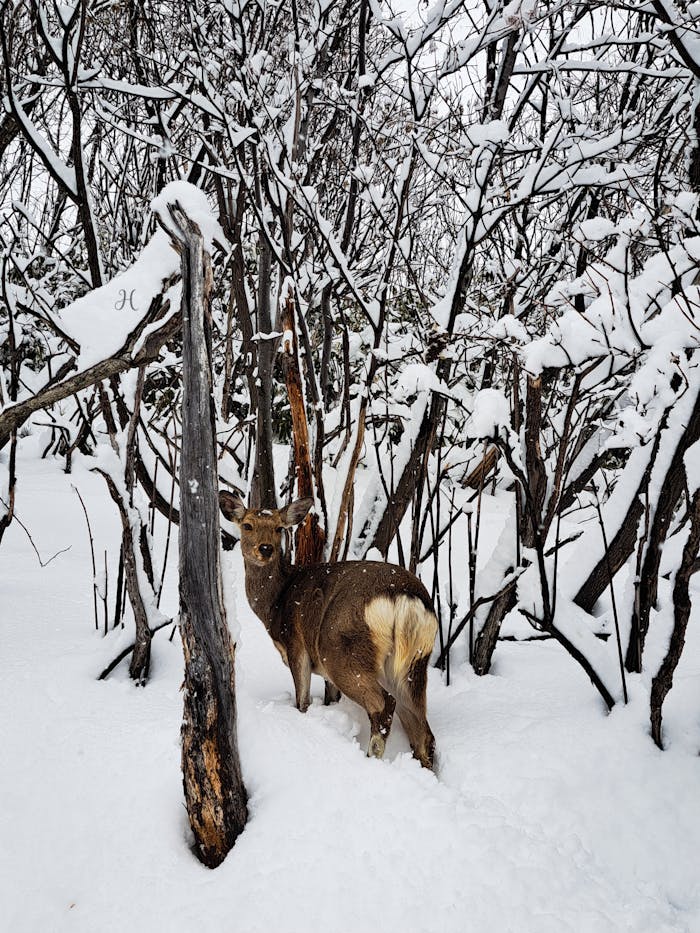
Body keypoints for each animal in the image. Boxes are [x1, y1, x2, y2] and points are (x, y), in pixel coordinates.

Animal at [219, 492, 438, 769]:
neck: (276, 605)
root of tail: (404, 597)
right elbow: (329, 698)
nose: (266, 549)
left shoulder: (296, 645)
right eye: (247, 525)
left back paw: (370, 758)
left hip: (340, 649)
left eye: (279, 528)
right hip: (413, 662)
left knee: (384, 705)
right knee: (423, 732)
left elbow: (302, 700)